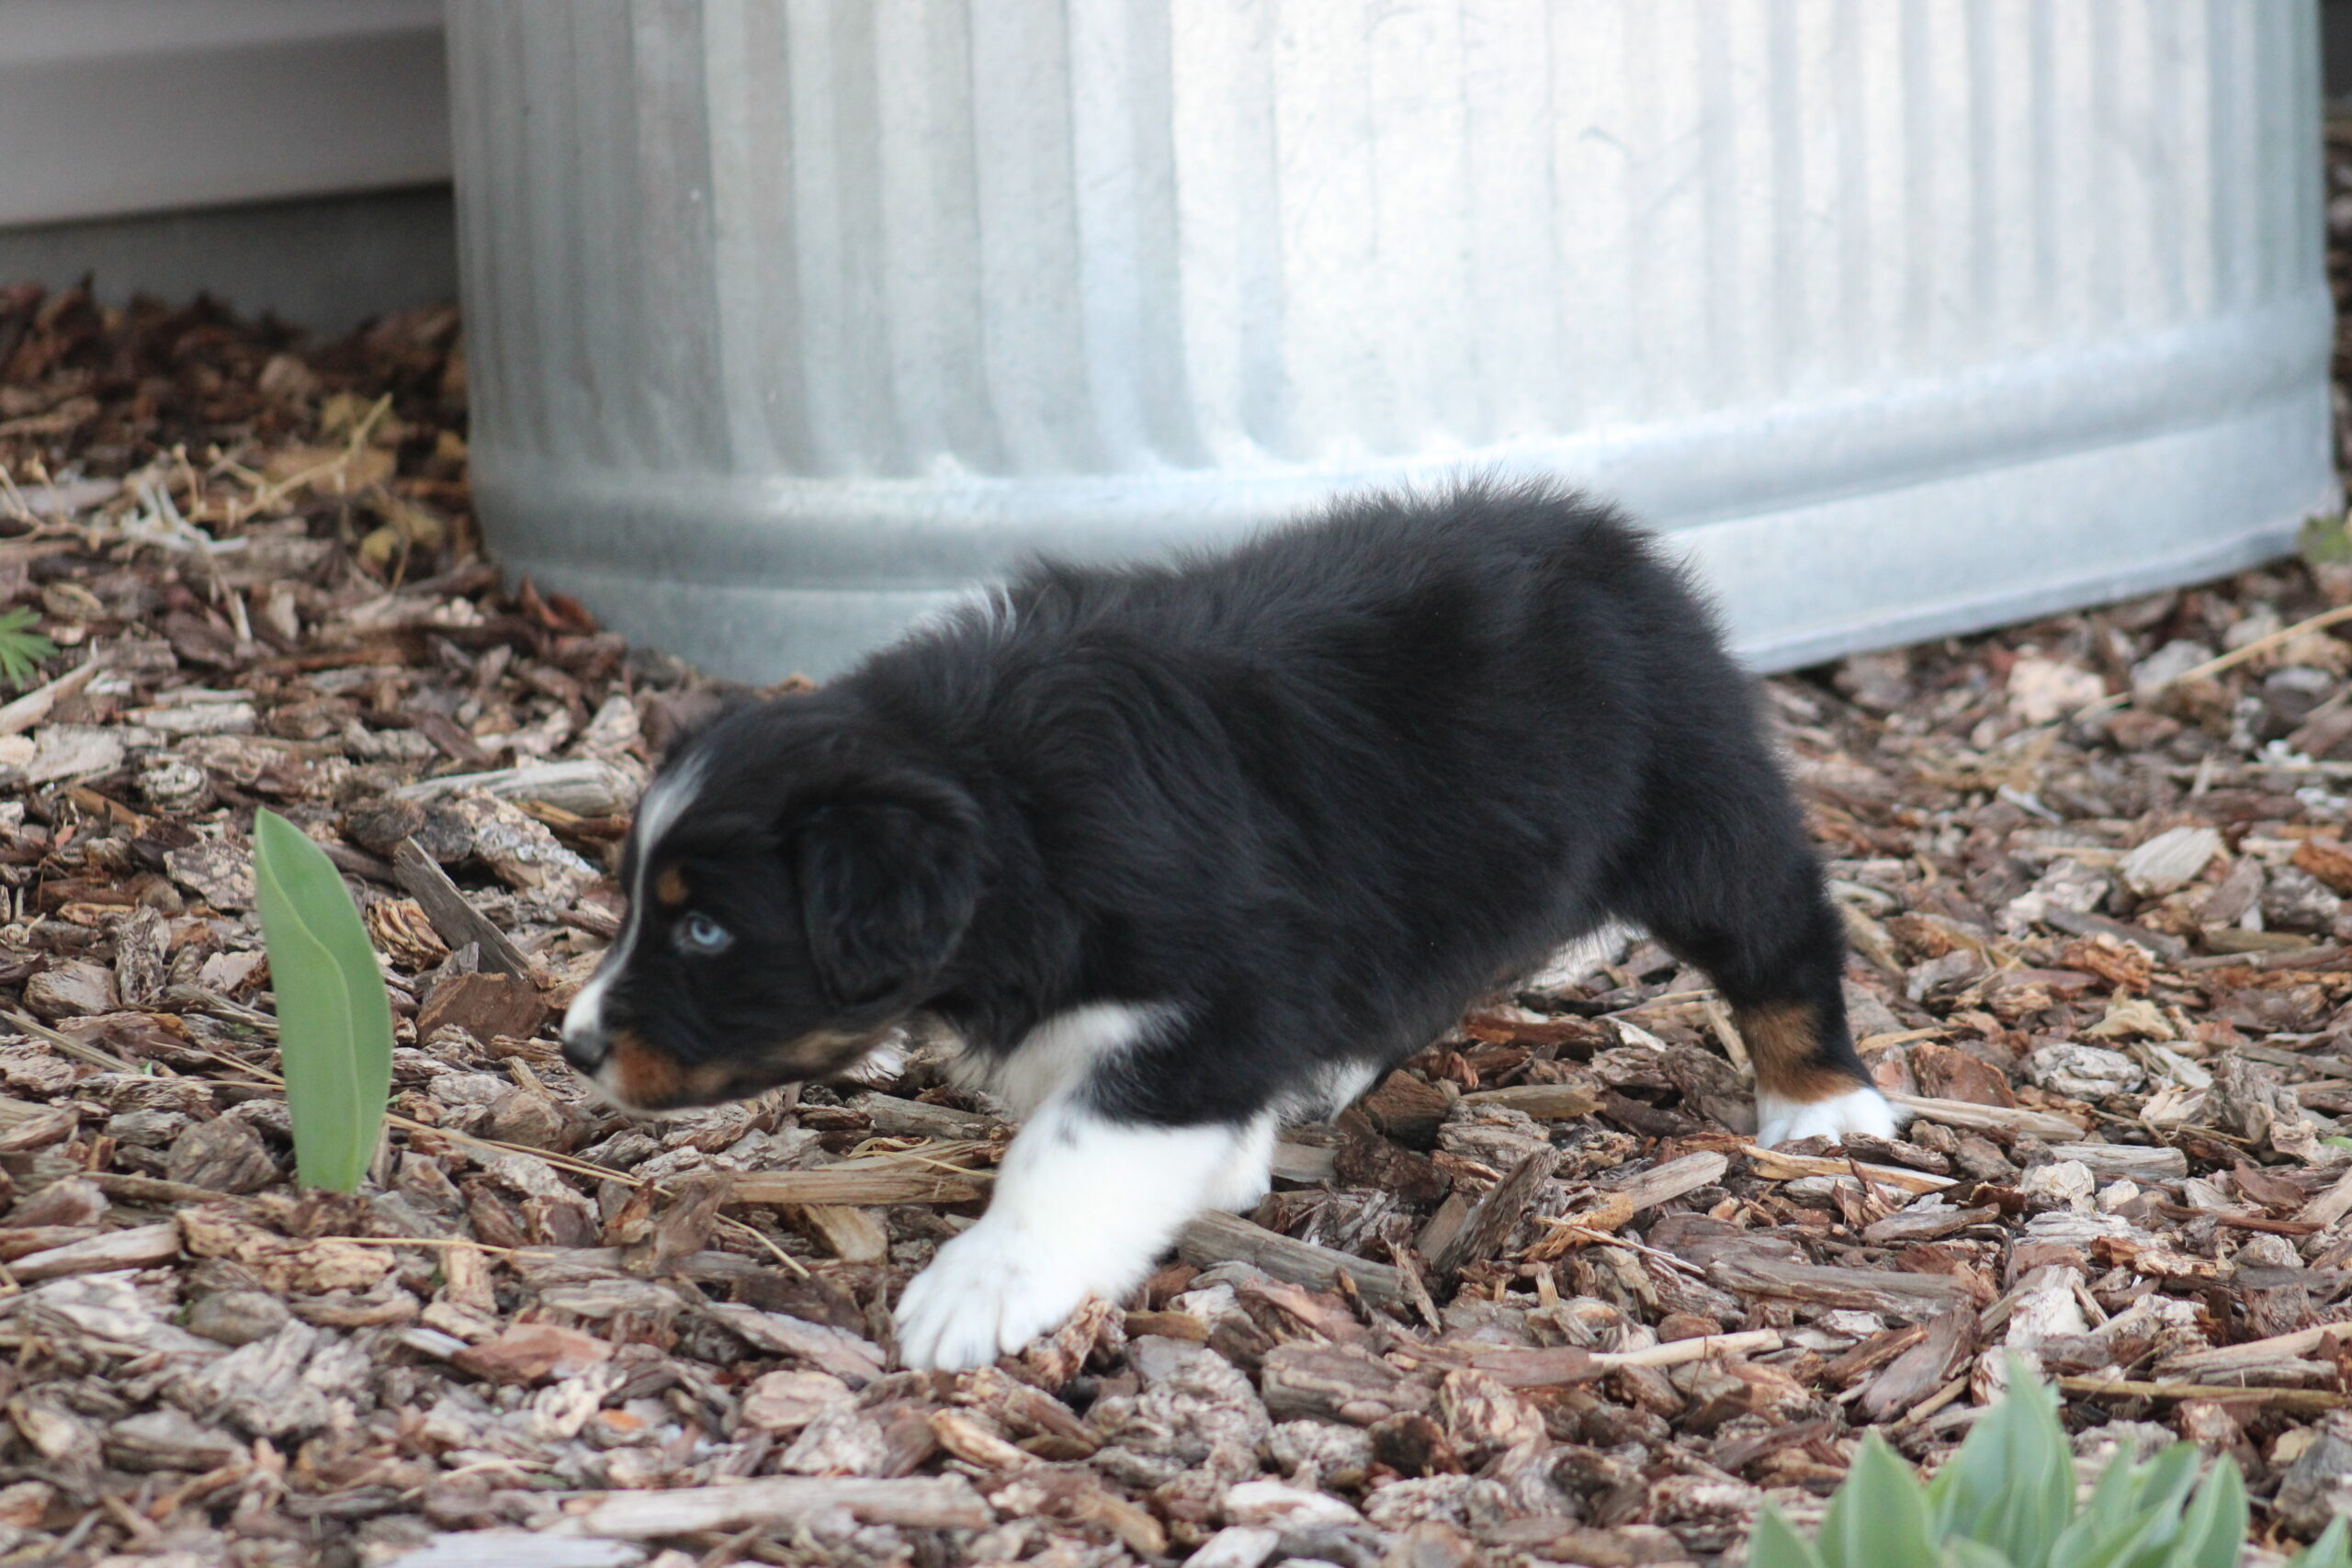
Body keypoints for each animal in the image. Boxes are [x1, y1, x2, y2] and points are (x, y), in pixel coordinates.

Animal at [560, 481, 1894, 1370]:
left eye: (707, 933)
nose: (572, 1045)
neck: (1008, 796)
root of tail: (1608, 539)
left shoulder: (1217, 993)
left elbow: (1073, 1142)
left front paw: (983, 1286)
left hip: (1693, 810)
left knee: (1782, 934)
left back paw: (1825, 1105)